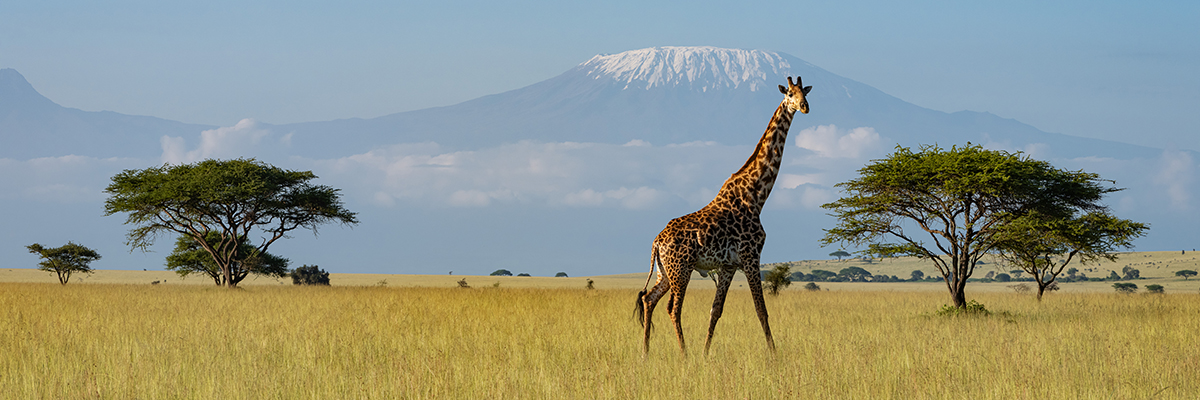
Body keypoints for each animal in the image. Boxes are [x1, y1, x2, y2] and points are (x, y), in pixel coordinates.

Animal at [635, 76, 811, 356]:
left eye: (805, 92)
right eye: (790, 95)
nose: (804, 107)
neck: (757, 195)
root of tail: (656, 243)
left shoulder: (728, 265)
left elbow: (715, 311)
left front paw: (706, 353)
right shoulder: (751, 257)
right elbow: (761, 310)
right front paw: (774, 354)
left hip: (665, 272)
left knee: (649, 299)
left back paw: (645, 353)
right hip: (681, 270)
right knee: (673, 308)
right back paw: (683, 354)